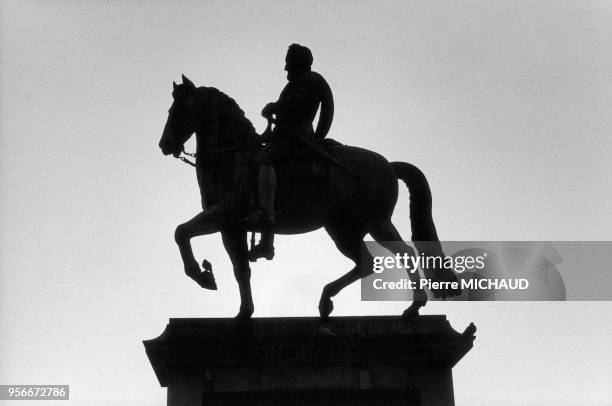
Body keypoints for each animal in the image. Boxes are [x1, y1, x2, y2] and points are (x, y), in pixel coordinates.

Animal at [158, 74, 460, 326]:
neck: (232, 156)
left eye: (178, 110)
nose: (164, 144)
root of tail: (388, 164)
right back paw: (326, 300)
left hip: (376, 221)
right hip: (342, 229)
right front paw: (242, 312)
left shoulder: (225, 214)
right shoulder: (230, 227)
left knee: (405, 253)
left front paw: (201, 274)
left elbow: (181, 232)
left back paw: (414, 306)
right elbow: (240, 269)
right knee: (364, 262)